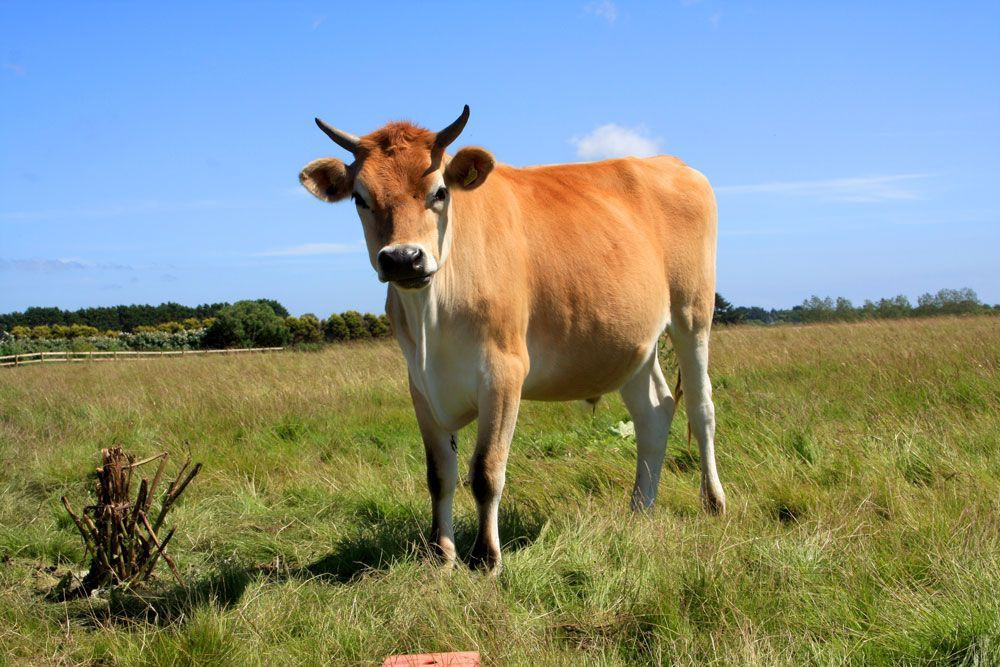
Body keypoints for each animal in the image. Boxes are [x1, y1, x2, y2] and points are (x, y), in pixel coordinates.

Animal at [299, 106, 725, 573]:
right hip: (631, 342)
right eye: (360, 198)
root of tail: (670, 163)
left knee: (701, 407)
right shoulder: (420, 384)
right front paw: (441, 554)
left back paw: (713, 502)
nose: (403, 258)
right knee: (654, 412)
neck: (433, 319)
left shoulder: (504, 372)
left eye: (439, 192)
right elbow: (439, 474)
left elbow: (486, 471)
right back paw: (640, 510)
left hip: (693, 312)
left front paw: (486, 558)